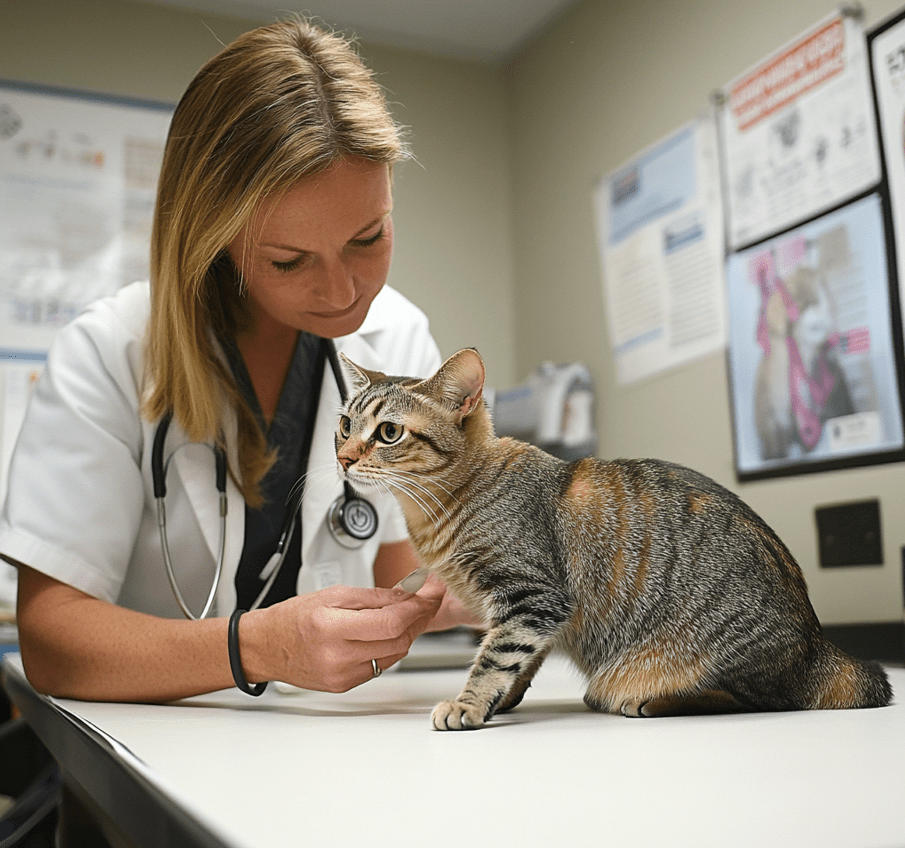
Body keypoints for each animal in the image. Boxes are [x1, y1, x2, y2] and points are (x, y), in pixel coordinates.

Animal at [334, 348, 888, 732]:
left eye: (387, 432)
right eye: (344, 424)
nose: (342, 457)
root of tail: (821, 649)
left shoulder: (534, 595)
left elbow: (497, 654)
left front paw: (470, 702)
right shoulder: (534, 611)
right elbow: (520, 657)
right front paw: (500, 700)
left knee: (757, 698)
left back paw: (654, 700)